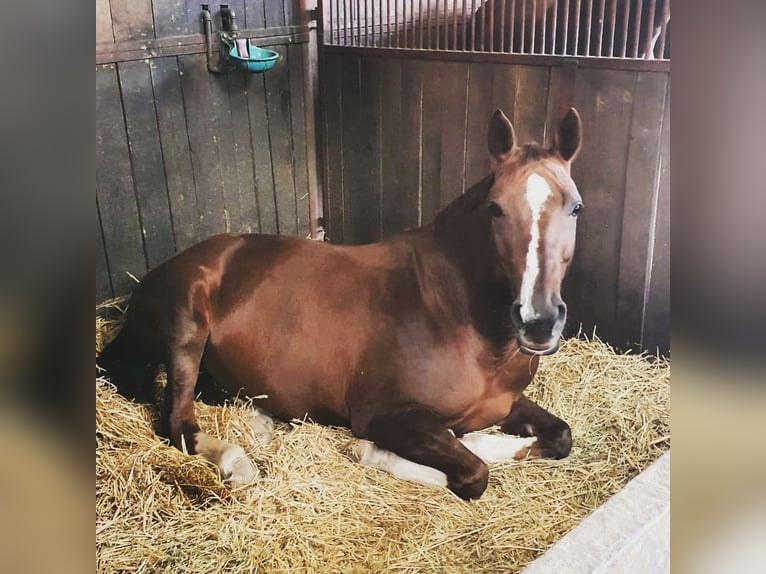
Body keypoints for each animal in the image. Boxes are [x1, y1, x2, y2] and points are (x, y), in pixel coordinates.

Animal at [97, 108, 584, 500]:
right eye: (495, 208)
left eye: (575, 207)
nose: (538, 321)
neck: (454, 314)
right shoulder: (384, 415)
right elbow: (471, 474)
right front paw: (373, 450)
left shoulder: (506, 402)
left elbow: (561, 435)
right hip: (186, 332)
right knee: (178, 424)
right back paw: (239, 463)